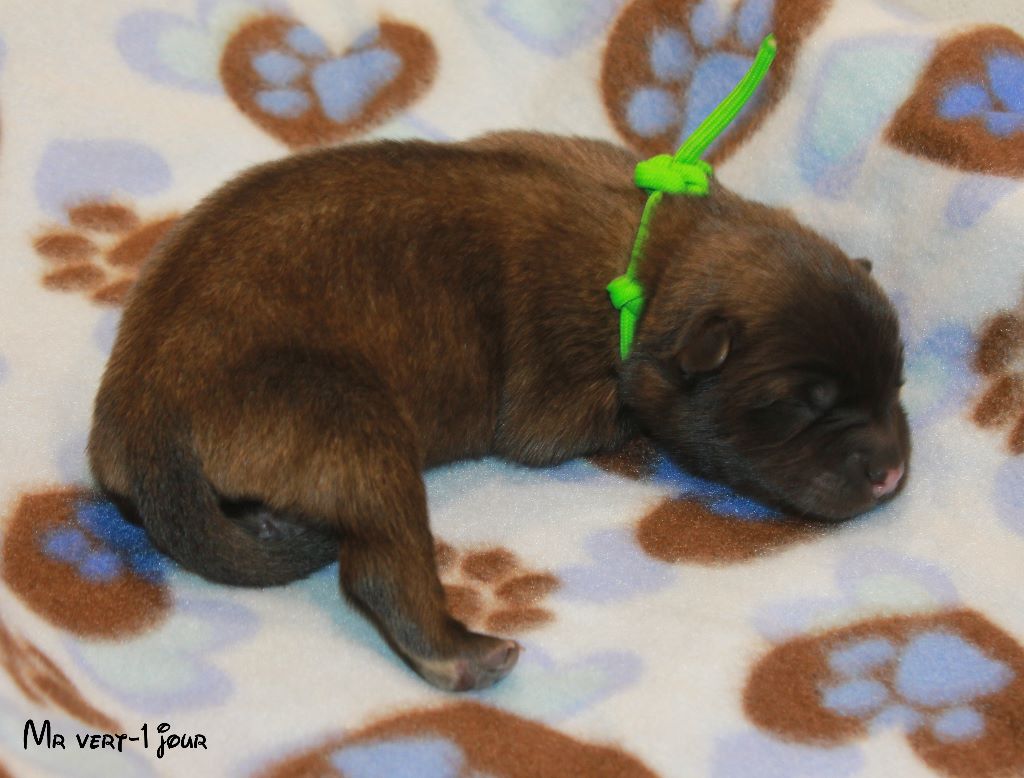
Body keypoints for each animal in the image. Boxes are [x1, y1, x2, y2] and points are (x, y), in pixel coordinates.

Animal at [88, 132, 909, 691]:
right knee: (381, 566)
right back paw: (462, 652)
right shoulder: (557, 399)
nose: (891, 472)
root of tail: (143, 416)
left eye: (899, 379)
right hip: (348, 421)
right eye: (800, 405)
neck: (659, 262)